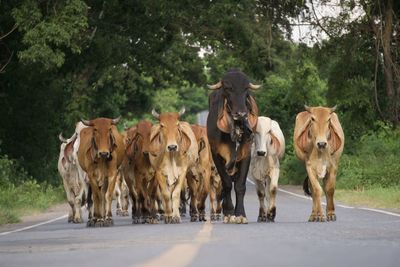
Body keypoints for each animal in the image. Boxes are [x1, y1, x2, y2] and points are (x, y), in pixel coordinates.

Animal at [206, 69, 260, 224]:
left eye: (246, 89)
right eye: (228, 88)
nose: (241, 113)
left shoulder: (246, 153)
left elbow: (240, 186)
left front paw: (240, 214)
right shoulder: (216, 155)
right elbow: (227, 183)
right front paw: (229, 212)